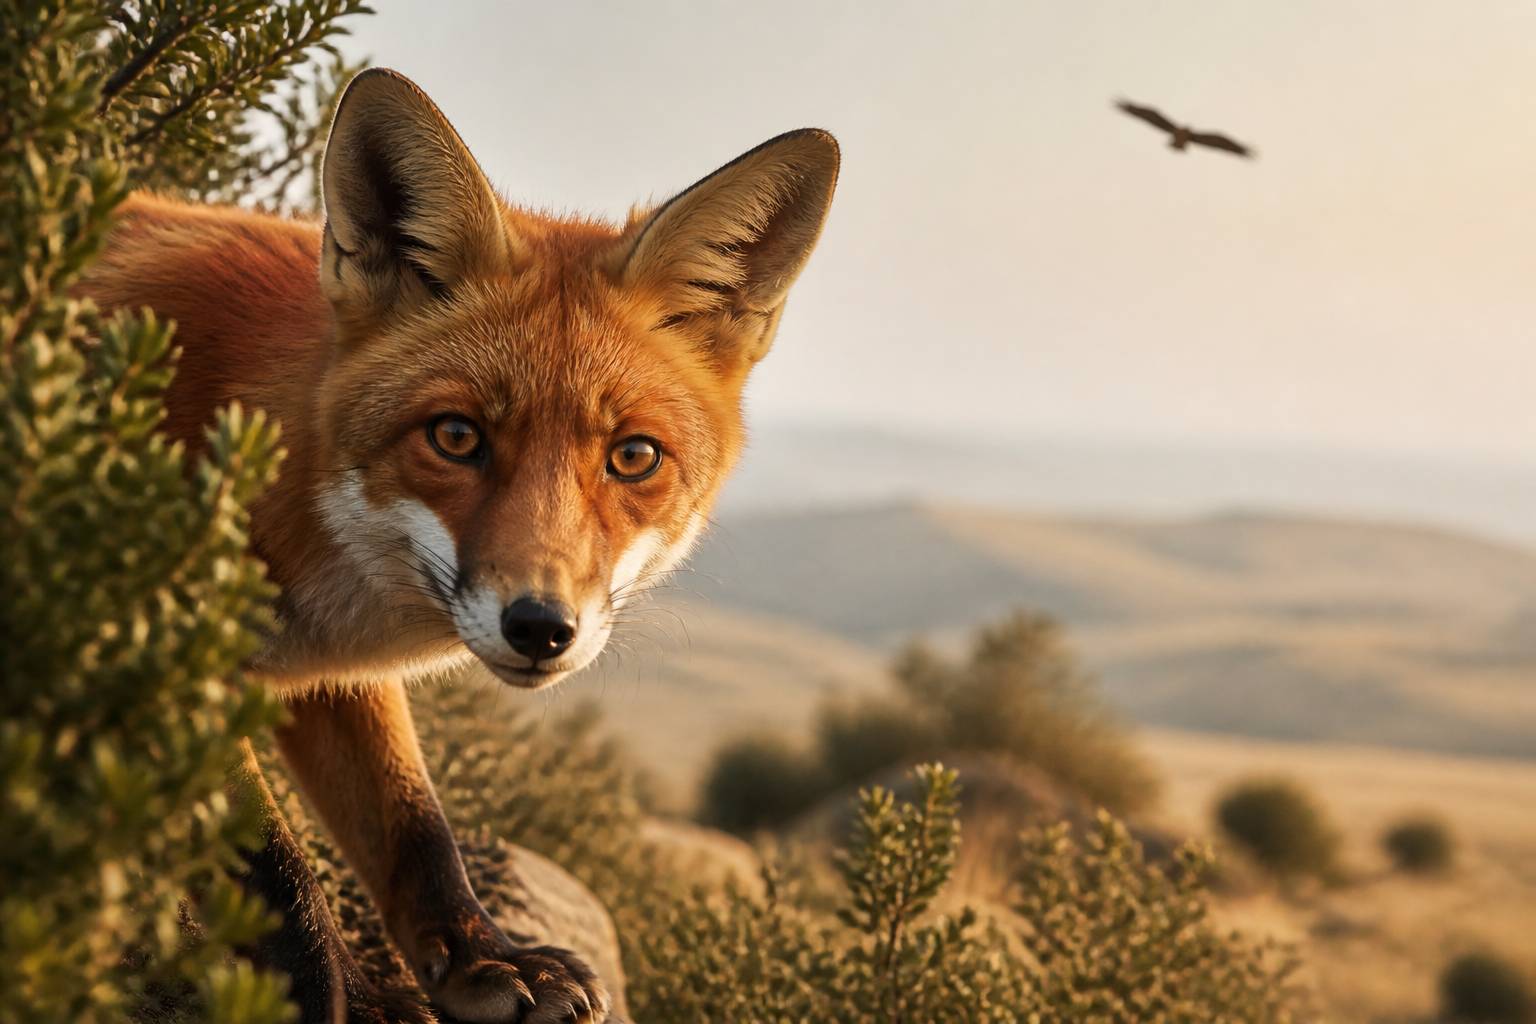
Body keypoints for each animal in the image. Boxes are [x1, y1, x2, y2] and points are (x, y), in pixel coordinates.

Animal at [83, 68, 838, 1023]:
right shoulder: (143, 645)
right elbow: (276, 875)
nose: (541, 627)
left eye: (634, 457)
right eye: (455, 437)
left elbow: (416, 832)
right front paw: (338, 998)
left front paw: (485, 962)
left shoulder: (332, 681)